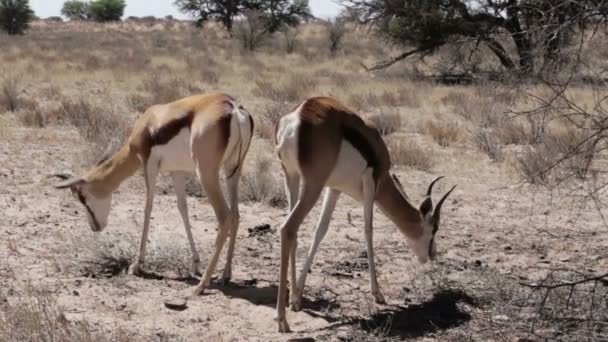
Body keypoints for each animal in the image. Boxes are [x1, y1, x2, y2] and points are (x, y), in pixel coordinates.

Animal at [48, 93, 254, 294]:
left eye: (81, 198)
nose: (94, 227)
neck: (150, 123)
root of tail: (233, 107)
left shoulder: (149, 165)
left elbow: (148, 208)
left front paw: (137, 265)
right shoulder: (177, 172)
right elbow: (183, 209)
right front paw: (195, 264)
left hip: (206, 174)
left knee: (225, 217)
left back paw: (202, 285)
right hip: (232, 170)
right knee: (236, 215)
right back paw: (225, 275)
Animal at [274, 96, 454, 332]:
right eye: (434, 229)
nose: (432, 255)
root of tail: (296, 117)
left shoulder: (334, 188)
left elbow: (320, 231)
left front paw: (298, 295)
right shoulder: (371, 182)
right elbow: (368, 230)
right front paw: (378, 294)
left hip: (292, 178)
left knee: (293, 232)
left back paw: (292, 300)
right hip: (313, 184)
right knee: (287, 228)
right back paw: (282, 321)